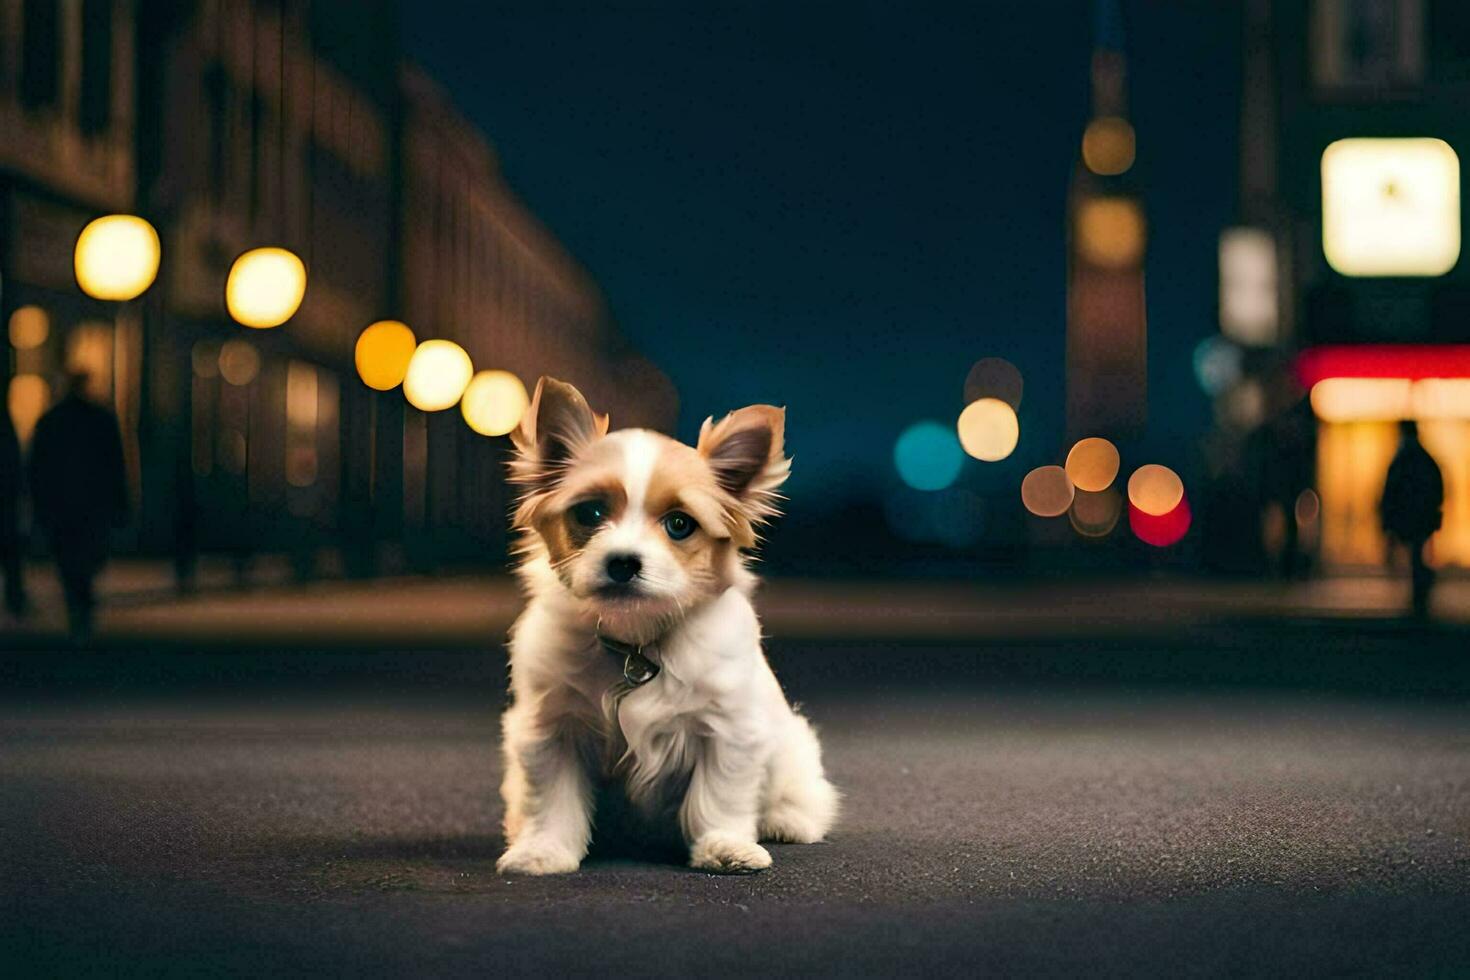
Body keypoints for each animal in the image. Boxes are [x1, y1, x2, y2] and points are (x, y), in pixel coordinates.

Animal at [496, 376, 834, 875]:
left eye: (679, 525)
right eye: (590, 513)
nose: (622, 562)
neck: (636, 639)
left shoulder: (729, 730)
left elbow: (719, 797)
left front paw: (724, 846)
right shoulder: (550, 728)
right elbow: (551, 800)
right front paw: (543, 850)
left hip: (791, 748)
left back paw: (788, 821)